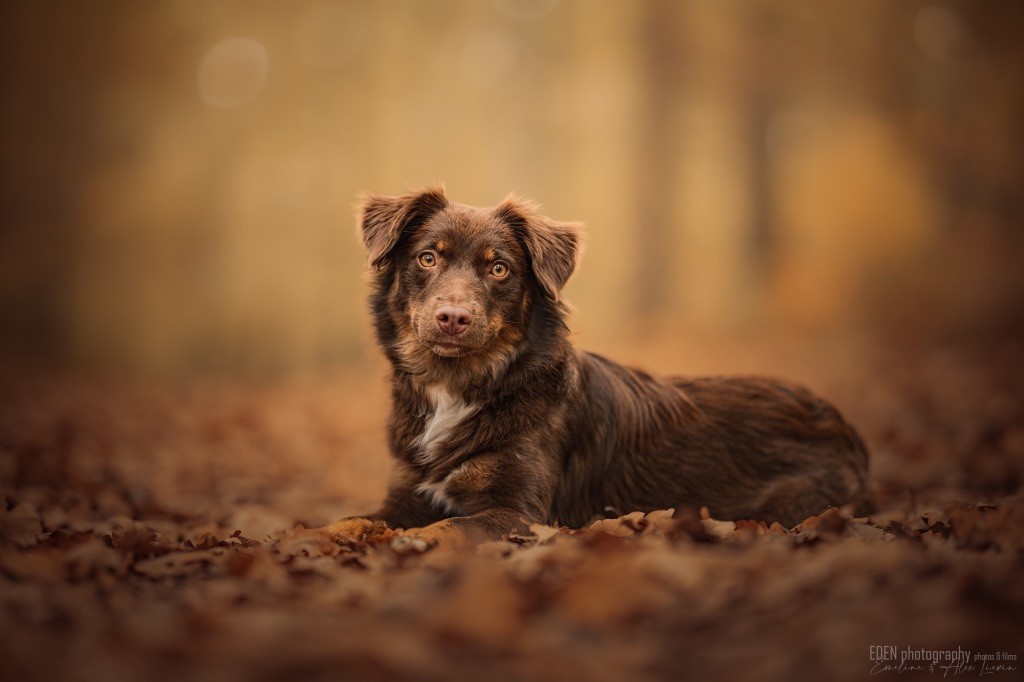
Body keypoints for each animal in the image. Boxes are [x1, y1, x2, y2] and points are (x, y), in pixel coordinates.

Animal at [317, 186, 872, 548]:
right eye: (428, 258)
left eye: (499, 268)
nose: (453, 318)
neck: (464, 385)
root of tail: (843, 424)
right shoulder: (405, 496)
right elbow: (351, 520)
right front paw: (314, 537)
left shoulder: (522, 513)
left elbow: (445, 528)